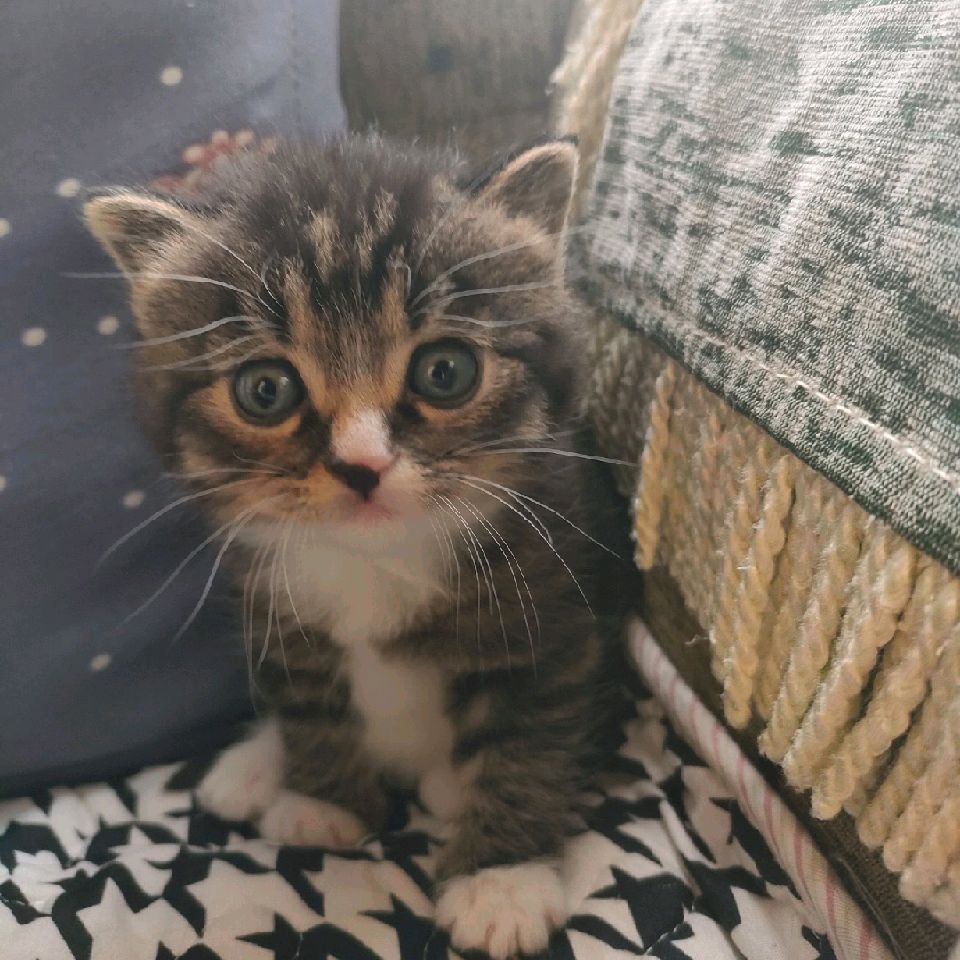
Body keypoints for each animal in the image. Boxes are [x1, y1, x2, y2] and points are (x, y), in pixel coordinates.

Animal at [85, 135, 628, 959]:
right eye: (265, 390)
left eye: (446, 372)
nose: (362, 465)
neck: (377, 557)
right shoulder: (274, 602)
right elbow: (309, 697)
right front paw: (323, 801)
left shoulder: (553, 604)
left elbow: (528, 739)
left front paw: (500, 880)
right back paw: (254, 766)